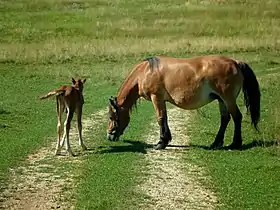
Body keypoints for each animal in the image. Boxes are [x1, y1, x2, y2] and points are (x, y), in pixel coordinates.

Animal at [106, 55, 260, 150]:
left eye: (112, 117)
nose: (109, 135)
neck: (145, 71)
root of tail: (235, 62)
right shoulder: (162, 100)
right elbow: (165, 118)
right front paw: (166, 140)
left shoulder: (157, 98)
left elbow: (160, 118)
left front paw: (160, 143)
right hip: (221, 101)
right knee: (225, 119)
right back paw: (216, 143)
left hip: (228, 100)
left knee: (237, 117)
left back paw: (235, 143)